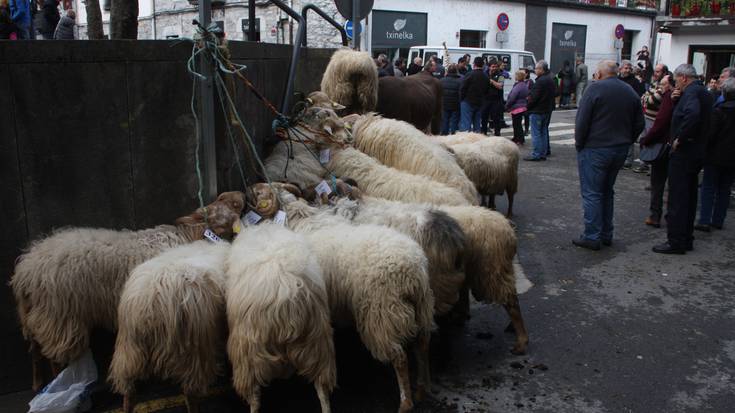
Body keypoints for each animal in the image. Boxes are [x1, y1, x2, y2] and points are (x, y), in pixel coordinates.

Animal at [11, 190, 246, 390]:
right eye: (228, 202)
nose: (242, 194)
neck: (188, 236)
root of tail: (25, 271)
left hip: (35, 317)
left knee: (35, 351)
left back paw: (38, 385)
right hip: (58, 317)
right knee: (53, 356)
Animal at [253, 183, 436, 412]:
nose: (251, 189)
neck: (303, 220)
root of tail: (411, 270)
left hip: (382, 313)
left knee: (400, 357)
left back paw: (406, 402)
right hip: (422, 305)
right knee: (423, 344)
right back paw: (423, 387)